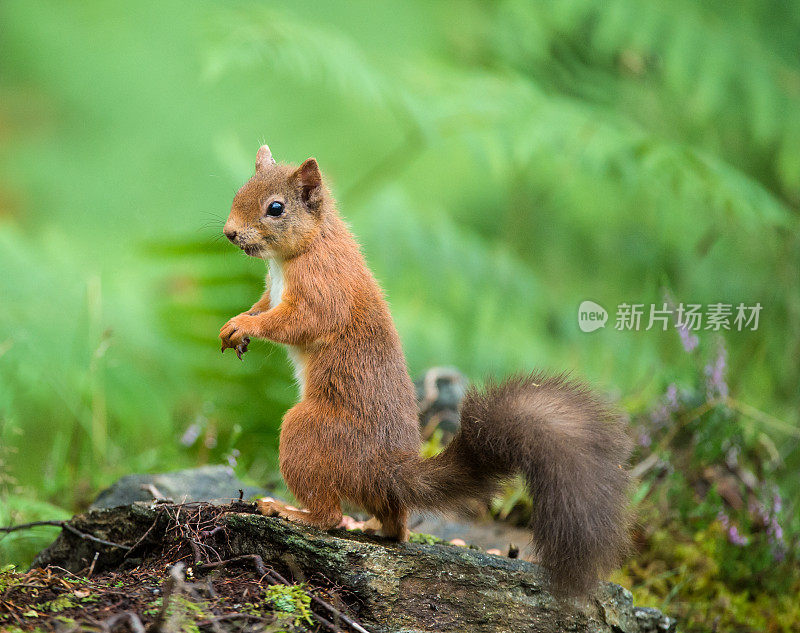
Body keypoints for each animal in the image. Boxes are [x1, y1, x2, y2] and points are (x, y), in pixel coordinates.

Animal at [219, 146, 632, 596]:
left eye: (275, 208)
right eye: (240, 189)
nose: (229, 233)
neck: (306, 247)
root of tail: (386, 468)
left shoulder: (322, 289)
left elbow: (294, 321)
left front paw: (245, 326)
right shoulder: (275, 290)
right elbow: (262, 304)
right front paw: (234, 326)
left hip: (307, 432)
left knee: (329, 514)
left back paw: (290, 511)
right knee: (395, 527)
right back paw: (368, 525)